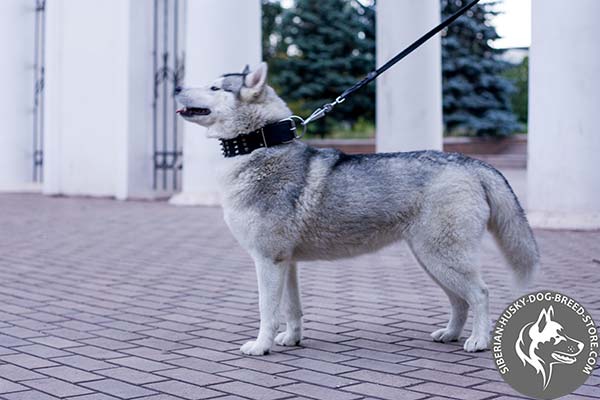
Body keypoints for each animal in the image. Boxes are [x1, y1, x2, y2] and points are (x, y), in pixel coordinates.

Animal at [175, 61, 540, 354]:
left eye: (214, 87)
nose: (177, 87)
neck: (261, 145)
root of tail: (472, 163)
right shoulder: (286, 263)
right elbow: (292, 310)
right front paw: (291, 339)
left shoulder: (268, 260)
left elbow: (268, 312)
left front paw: (261, 346)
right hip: (433, 261)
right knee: (460, 301)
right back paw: (450, 334)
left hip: (443, 258)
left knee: (480, 294)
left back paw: (478, 341)